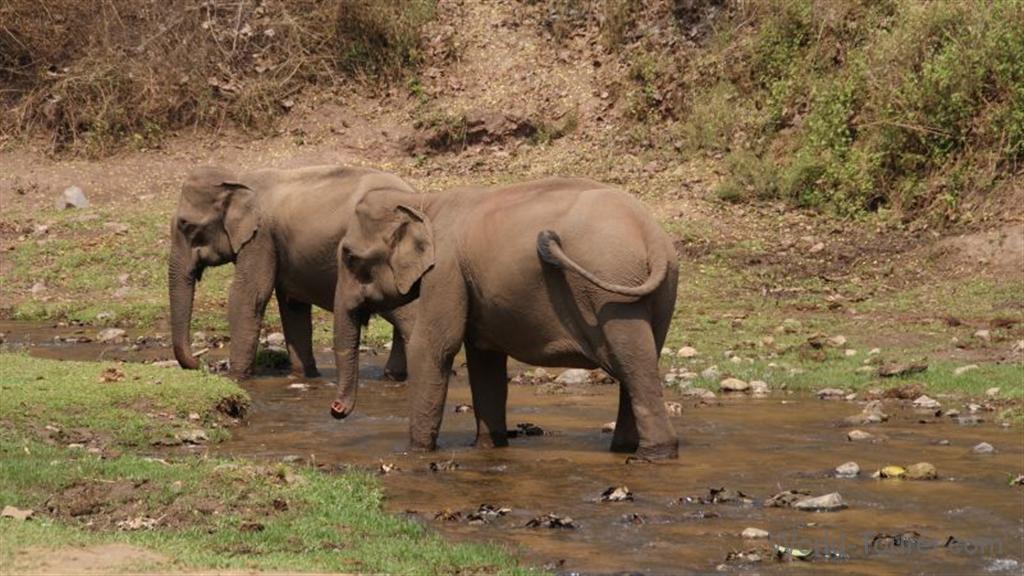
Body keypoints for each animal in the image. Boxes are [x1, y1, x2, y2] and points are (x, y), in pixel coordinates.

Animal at [168, 164, 417, 378]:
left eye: (186, 224)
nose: (200, 364)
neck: (237, 178)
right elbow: (292, 305)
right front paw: (306, 376)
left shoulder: (261, 237)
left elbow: (248, 295)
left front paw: (236, 377)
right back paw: (393, 376)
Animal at [328, 177, 680, 460]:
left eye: (350, 257)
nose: (336, 410)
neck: (424, 202)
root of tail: (650, 233)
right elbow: (485, 359)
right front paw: (488, 447)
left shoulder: (446, 270)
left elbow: (433, 348)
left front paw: (415, 453)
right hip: (661, 292)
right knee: (639, 364)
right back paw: (624, 450)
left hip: (613, 294)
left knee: (633, 367)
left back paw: (653, 456)